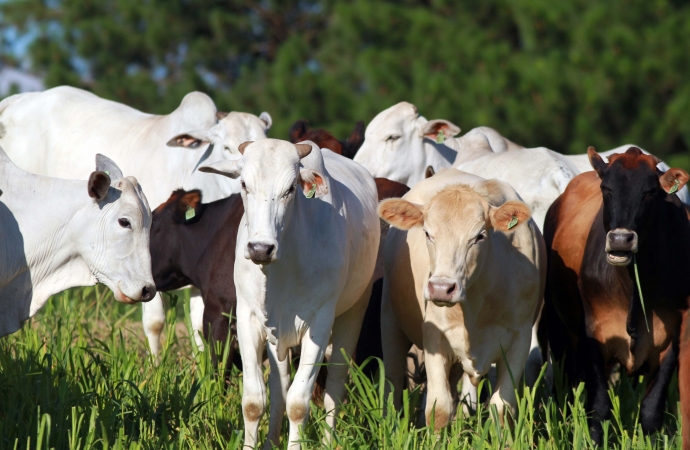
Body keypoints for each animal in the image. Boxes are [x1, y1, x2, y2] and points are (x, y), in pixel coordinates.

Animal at [199, 139, 378, 448]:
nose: (260, 248)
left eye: (291, 188)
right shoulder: (248, 319)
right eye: (244, 184)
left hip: (354, 311)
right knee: (279, 385)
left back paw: (328, 441)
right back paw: (272, 441)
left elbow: (298, 403)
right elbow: (254, 401)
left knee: (334, 387)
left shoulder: (319, 324)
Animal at [376, 168, 544, 426]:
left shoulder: (520, 339)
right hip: (390, 319)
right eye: (427, 233)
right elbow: (439, 408)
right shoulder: (434, 335)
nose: (441, 288)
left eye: (479, 236)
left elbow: (501, 408)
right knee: (393, 381)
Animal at [544, 147, 688, 442]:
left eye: (649, 192)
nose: (621, 239)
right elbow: (599, 407)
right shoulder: (595, 334)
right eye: (606, 189)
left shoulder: (672, 338)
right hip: (558, 328)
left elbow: (651, 411)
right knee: (564, 387)